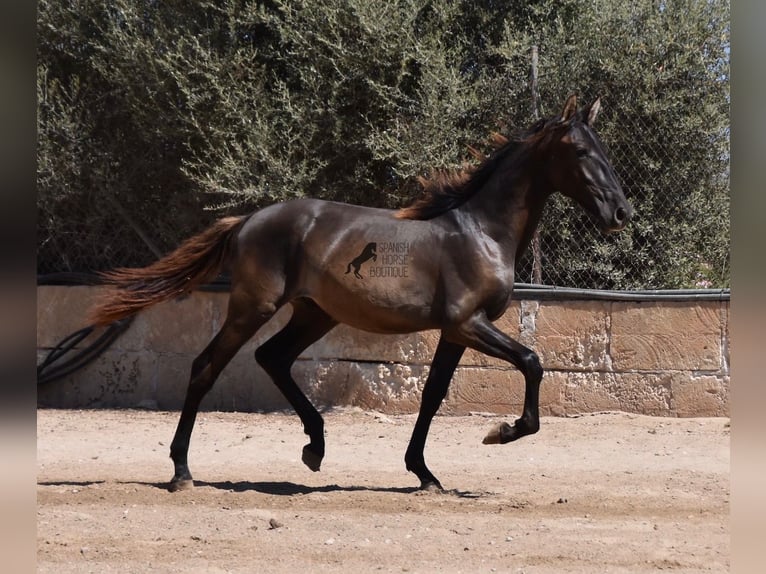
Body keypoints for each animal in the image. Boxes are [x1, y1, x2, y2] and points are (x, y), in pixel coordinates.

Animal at [91, 97, 632, 492]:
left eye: (606, 149)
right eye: (581, 153)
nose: (621, 213)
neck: (481, 231)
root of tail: (247, 221)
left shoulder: (454, 332)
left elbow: (433, 395)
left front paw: (425, 474)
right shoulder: (468, 323)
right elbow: (532, 362)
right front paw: (501, 432)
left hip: (314, 314)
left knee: (273, 357)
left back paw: (314, 447)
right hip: (253, 307)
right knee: (206, 366)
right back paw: (182, 471)